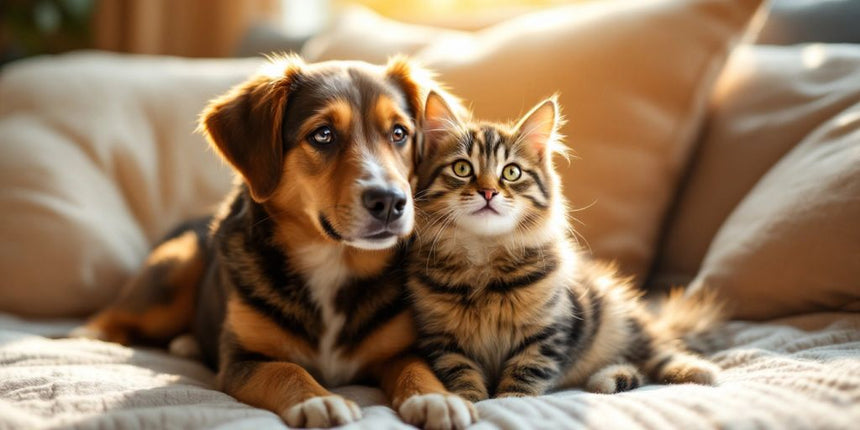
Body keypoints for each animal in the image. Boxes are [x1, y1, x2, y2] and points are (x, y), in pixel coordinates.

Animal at [74, 55, 478, 428]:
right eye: (322, 135)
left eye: (399, 133)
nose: (391, 202)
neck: (332, 261)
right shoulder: (243, 361)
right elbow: (286, 370)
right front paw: (318, 401)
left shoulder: (400, 349)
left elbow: (418, 368)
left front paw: (438, 399)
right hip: (174, 268)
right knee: (106, 318)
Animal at [406, 92, 724, 402]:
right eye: (462, 168)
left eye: (511, 173)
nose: (488, 192)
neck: (483, 253)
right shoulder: (441, 338)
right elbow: (461, 372)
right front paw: (470, 400)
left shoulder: (549, 329)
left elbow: (526, 371)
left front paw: (510, 399)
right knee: (636, 365)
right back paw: (609, 379)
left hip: (619, 314)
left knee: (655, 352)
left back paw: (696, 370)